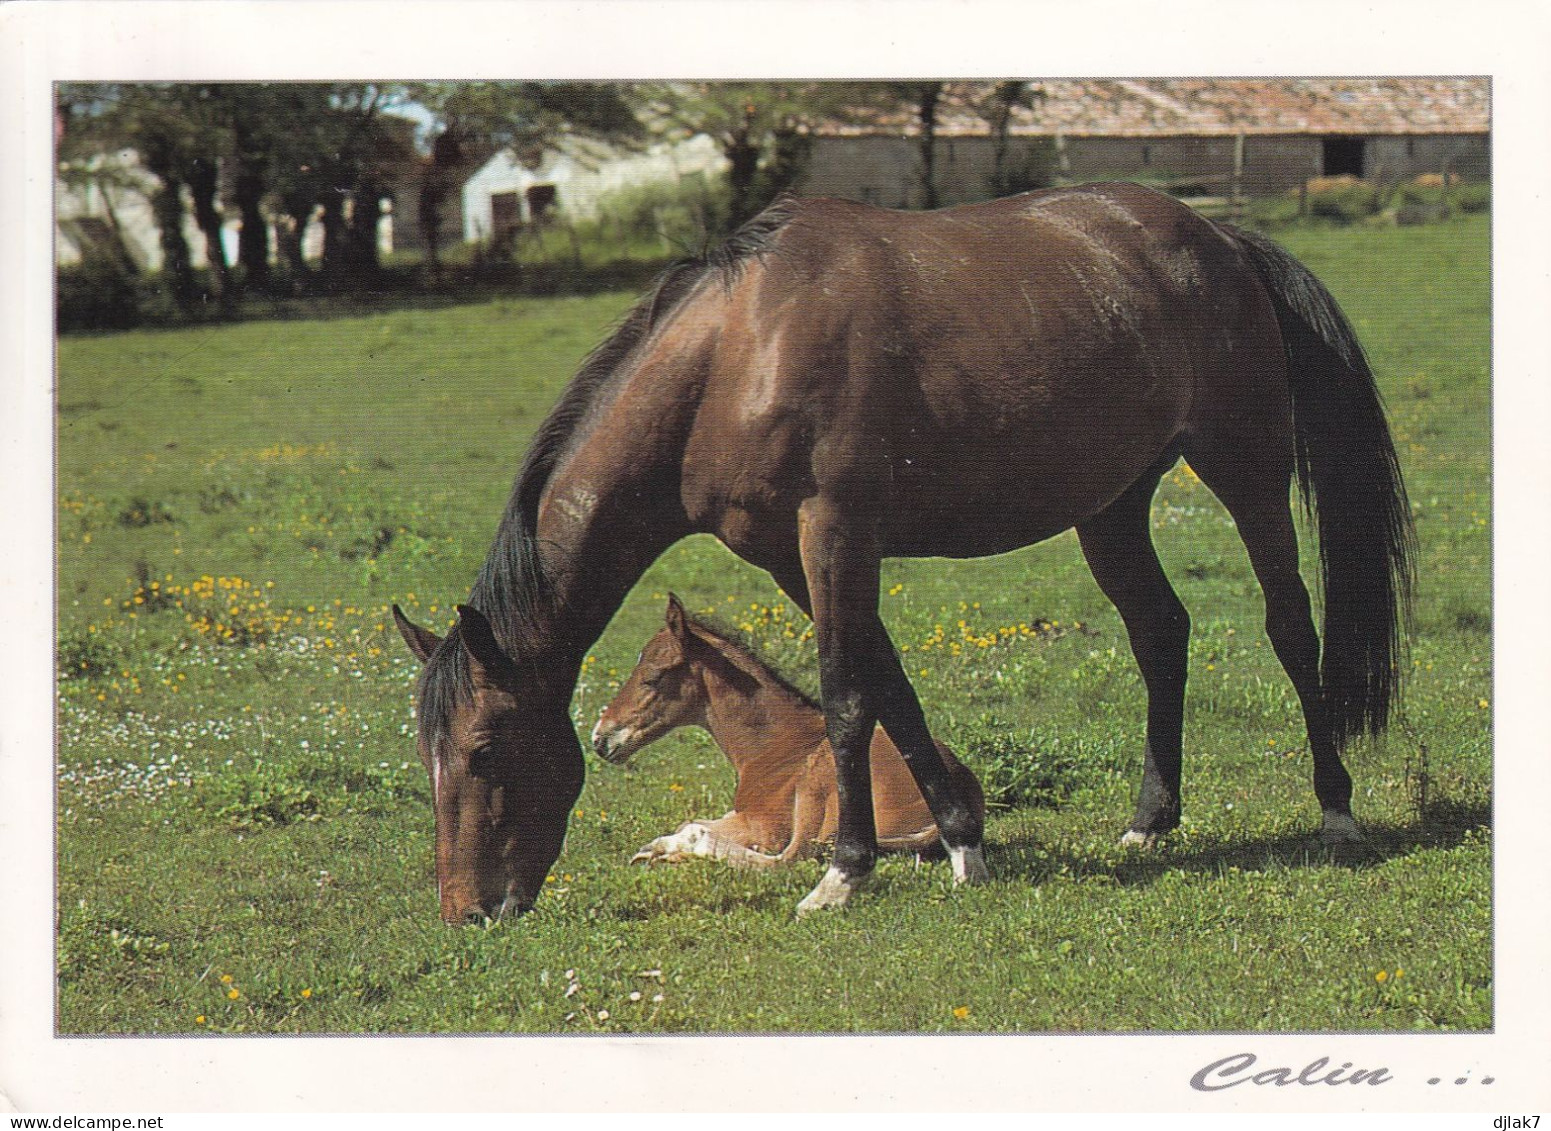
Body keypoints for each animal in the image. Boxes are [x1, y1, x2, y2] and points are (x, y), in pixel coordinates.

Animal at [586, 592, 986, 862]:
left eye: (652, 677)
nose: (600, 738)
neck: (774, 744)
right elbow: (694, 822)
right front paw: (656, 848)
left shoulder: (765, 825)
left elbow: (699, 829)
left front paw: (665, 850)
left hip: (817, 784)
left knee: (787, 861)